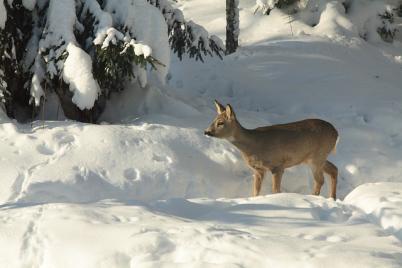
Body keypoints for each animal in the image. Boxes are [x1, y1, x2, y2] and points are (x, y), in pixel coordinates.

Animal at [204, 100, 340, 199]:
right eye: (213, 120)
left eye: (221, 123)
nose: (206, 131)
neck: (253, 144)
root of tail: (336, 132)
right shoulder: (259, 169)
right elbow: (255, 191)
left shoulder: (277, 165)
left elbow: (276, 190)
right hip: (315, 157)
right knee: (334, 169)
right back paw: (332, 198)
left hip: (317, 156)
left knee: (320, 180)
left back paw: (314, 198)